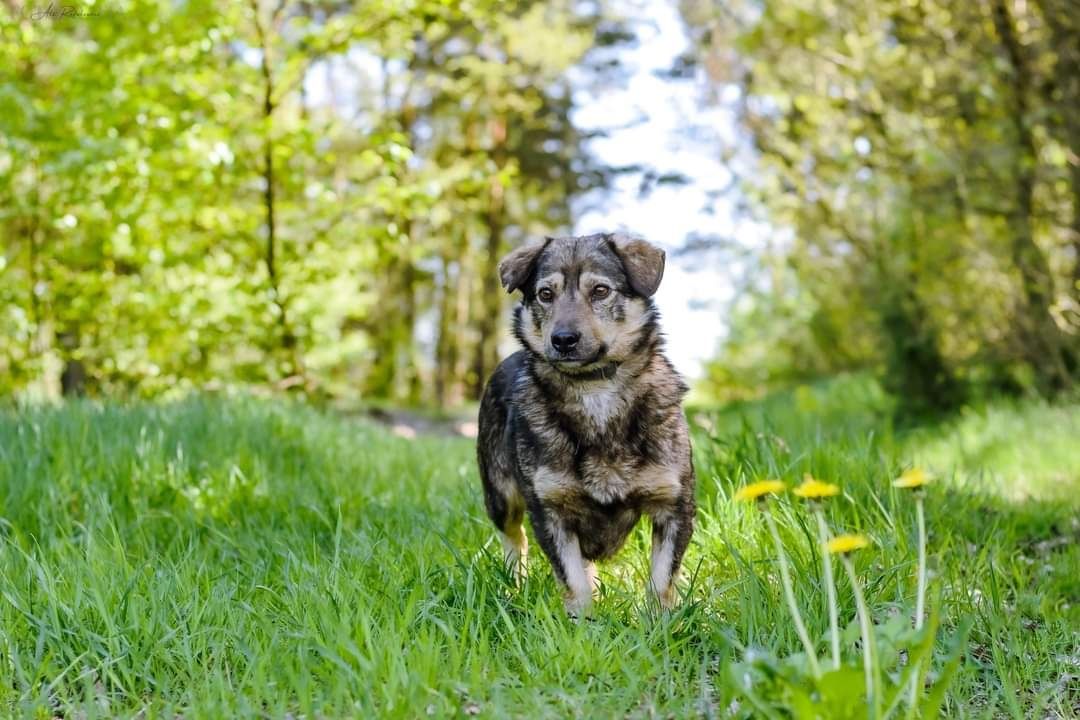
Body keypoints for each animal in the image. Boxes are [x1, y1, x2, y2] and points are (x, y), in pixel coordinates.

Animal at [477, 234, 695, 617]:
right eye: (545, 294)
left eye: (600, 290)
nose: (563, 339)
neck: (594, 390)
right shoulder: (550, 511)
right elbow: (572, 579)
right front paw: (580, 622)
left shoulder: (675, 504)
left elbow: (662, 579)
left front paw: (661, 622)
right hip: (499, 495)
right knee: (514, 540)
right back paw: (513, 589)